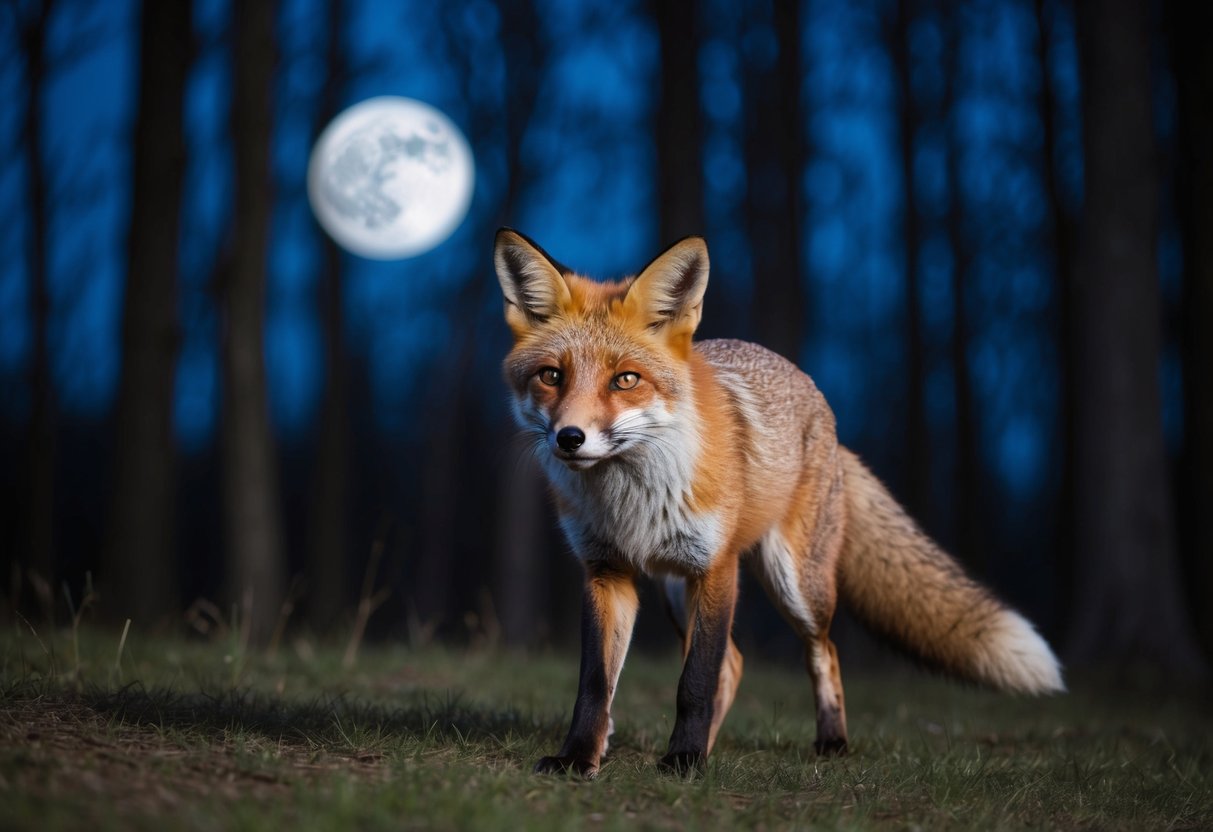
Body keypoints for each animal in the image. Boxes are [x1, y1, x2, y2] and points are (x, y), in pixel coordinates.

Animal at [494, 228, 1064, 778]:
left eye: (626, 379)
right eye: (551, 376)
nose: (570, 438)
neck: (630, 499)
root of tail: (823, 409)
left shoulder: (717, 569)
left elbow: (694, 682)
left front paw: (684, 761)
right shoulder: (605, 571)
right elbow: (596, 685)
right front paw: (579, 758)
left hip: (796, 585)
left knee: (821, 651)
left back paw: (827, 742)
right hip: (677, 590)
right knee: (735, 664)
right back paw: (703, 747)